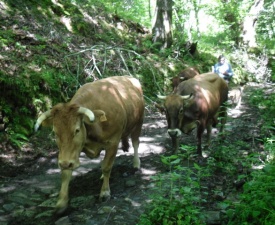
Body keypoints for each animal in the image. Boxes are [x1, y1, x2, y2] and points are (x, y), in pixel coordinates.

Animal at [34, 75, 144, 213]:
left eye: (76, 130)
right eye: (55, 132)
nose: (64, 163)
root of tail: (129, 77)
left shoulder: (113, 142)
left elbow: (107, 166)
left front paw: (105, 192)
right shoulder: (70, 153)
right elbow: (66, 173)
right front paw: (61, 202)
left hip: (139, 122)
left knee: (135, 143)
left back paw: (136, 163)